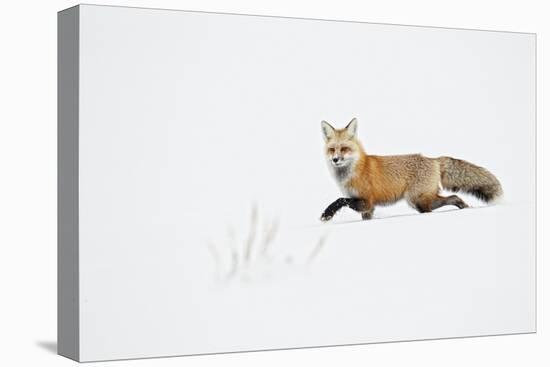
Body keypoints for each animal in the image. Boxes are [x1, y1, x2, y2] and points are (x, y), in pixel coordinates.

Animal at [322, 118, 506, 221]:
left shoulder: (366, 201)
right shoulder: (368, 208)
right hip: (418, 200)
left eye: (344, 148)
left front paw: (327, 214)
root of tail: (433, 160)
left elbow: (340, 200)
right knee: (453, 198)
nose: (335, 159)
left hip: (416, 200)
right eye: (332, 149)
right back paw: (465, 208)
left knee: (444, 202)